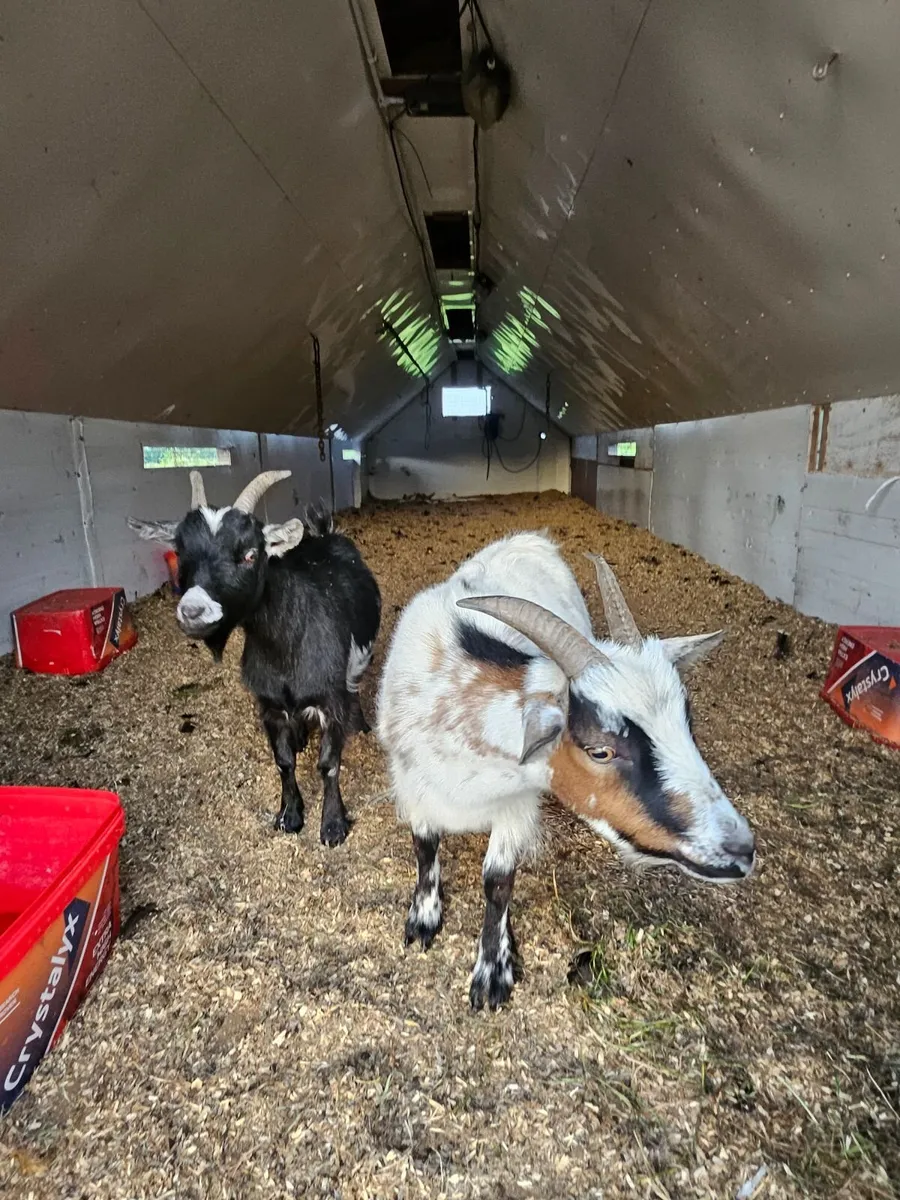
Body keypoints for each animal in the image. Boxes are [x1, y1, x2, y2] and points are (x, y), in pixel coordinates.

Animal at [129, 470, 381, 846]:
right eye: (180, 551)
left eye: (249, 554)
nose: (193, 611)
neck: (285, 649)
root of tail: (324, 534)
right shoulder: (268, 705)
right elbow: (284, 762)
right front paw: (289, 815)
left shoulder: (331, 700)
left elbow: (329, 764)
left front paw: (333, 825)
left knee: (354, 688)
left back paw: (359, 724)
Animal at [377, 532, 755, 1011]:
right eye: (600, 750)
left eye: (687, 725)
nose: (741, 849)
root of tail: (532, 536)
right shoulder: (414, 789)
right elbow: (425, 850)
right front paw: (424, 919)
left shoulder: (516, 807)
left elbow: (497, 882)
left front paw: (493, 970)